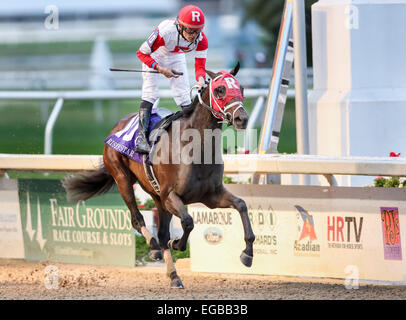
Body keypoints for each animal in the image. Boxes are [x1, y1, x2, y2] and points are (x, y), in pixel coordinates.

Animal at [62, 62, 254, 288]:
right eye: (220, 90)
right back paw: (153, 247)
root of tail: (118, 125)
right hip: (123, 179)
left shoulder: (211, 196)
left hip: (156, 196)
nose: (242, 118)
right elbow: (188, 222)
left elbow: (241, 204)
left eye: (241, 89)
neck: (195, 146)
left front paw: (247, 254)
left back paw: (173, 275)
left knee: (161, 232)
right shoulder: (171, 196)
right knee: (138, 220)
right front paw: (177, 243)